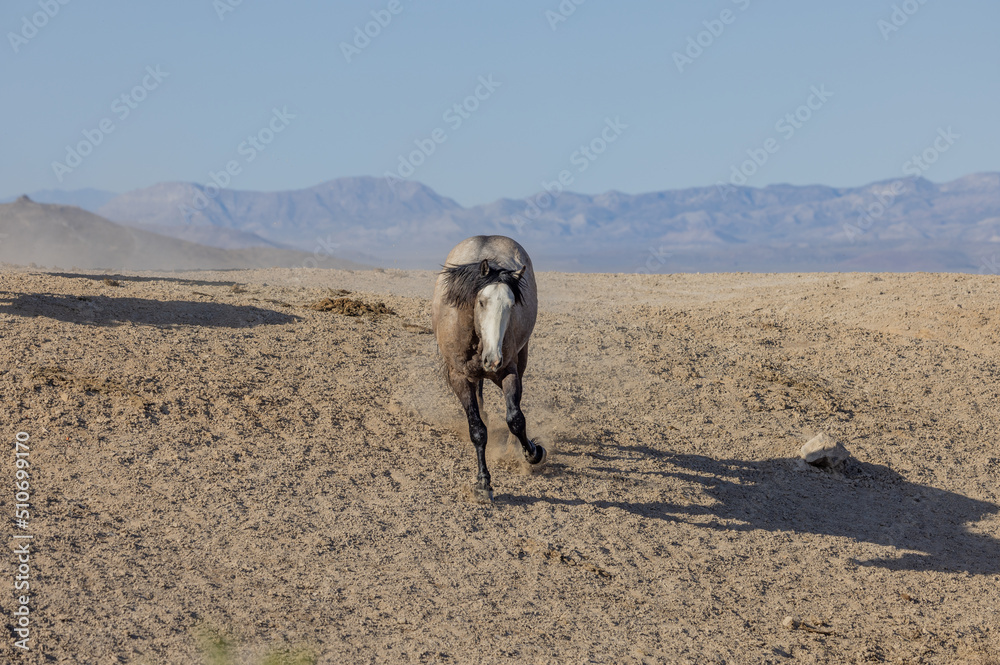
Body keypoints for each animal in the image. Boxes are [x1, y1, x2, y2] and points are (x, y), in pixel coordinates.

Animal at [431, 235, 546, 501]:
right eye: (481, 302)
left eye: (511, 305)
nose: (493, 359)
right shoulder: (459, 378)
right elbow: (477, 429)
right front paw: (483, 482)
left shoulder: (509, 372)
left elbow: (516, 419)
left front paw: (533, 452)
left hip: (521, 359)